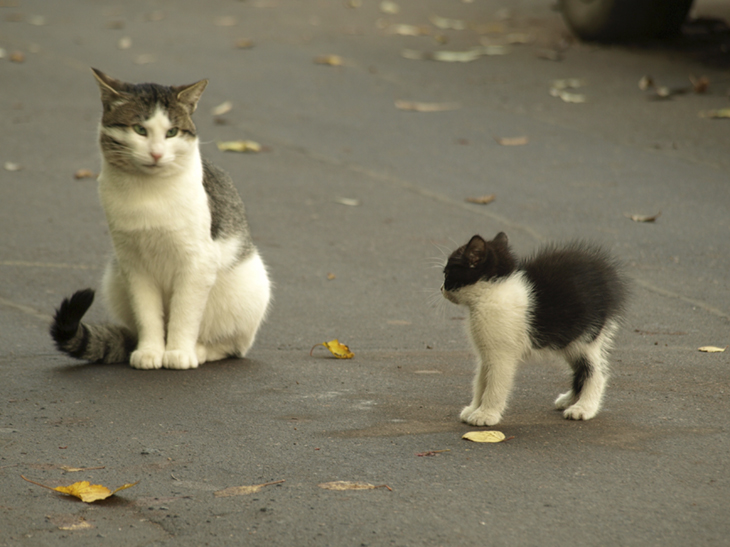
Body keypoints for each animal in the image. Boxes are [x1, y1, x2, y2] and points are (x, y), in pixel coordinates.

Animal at [49, 68, 270, 368]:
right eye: (140, 130)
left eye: (172, 132)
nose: (156, 153)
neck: (148, 193)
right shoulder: (133, 265)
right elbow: (147, 315)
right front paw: (150, 351)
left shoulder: (197, 263)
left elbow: (184, 314)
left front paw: (178, 352)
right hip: (114, 278)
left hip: (247, 289)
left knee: (232, 346)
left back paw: (200, 350)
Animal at [440, 233, 624, 426]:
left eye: (447, 273)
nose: (441, 288)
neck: (492, 292)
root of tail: (607, 274)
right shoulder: (487, 351)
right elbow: (481, 381)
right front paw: (473, 409)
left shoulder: (502, 353)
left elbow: (495, 384)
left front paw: (486, 415)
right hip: (569, 339)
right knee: (581, 368)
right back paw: (569, 400)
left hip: (587, 335)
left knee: (595, 371)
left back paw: (583, 408)